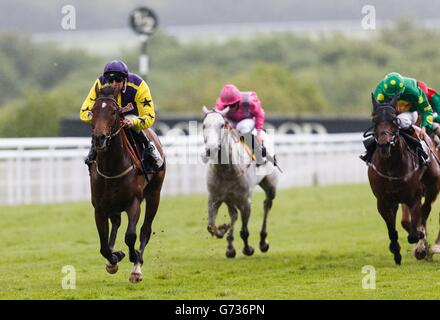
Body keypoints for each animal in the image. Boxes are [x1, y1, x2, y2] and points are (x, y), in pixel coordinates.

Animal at [90, 85, 166, 282]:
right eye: (92, 110)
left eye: (114, 111)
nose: (99, 138)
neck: (112, 168)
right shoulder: (99, 207)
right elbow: (103, 246)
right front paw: (114, 258)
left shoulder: (134, 202)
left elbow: (131, 236)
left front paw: (134, 258)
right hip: (113, 204)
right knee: (116, 222)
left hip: (154, 194)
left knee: (145, 229)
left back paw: (137, 265)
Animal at [202, 106, 278, 258]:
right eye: (203, 125)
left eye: (222, 125)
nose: (211, 150)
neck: (226, 170)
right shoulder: (214, 197)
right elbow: (211, 226)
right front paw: (223, 229)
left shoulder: (245, 200)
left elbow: (244, 231)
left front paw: (248, 249)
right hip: (229, 198)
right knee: (234, 214)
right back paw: (230, 246)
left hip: (271, 185)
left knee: (267, 204)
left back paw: (263, 241)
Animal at [368, 93, 440, 264]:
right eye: (374, 119)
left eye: (395, 120)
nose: (384, 145)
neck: (391, 167)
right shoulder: (384, 201)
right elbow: (394, 228)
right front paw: (396, 251)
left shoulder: (413, 197)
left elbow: (414, 231)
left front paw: (421, 246)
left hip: (432, 187)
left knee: (426, 210)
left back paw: (431, 246)